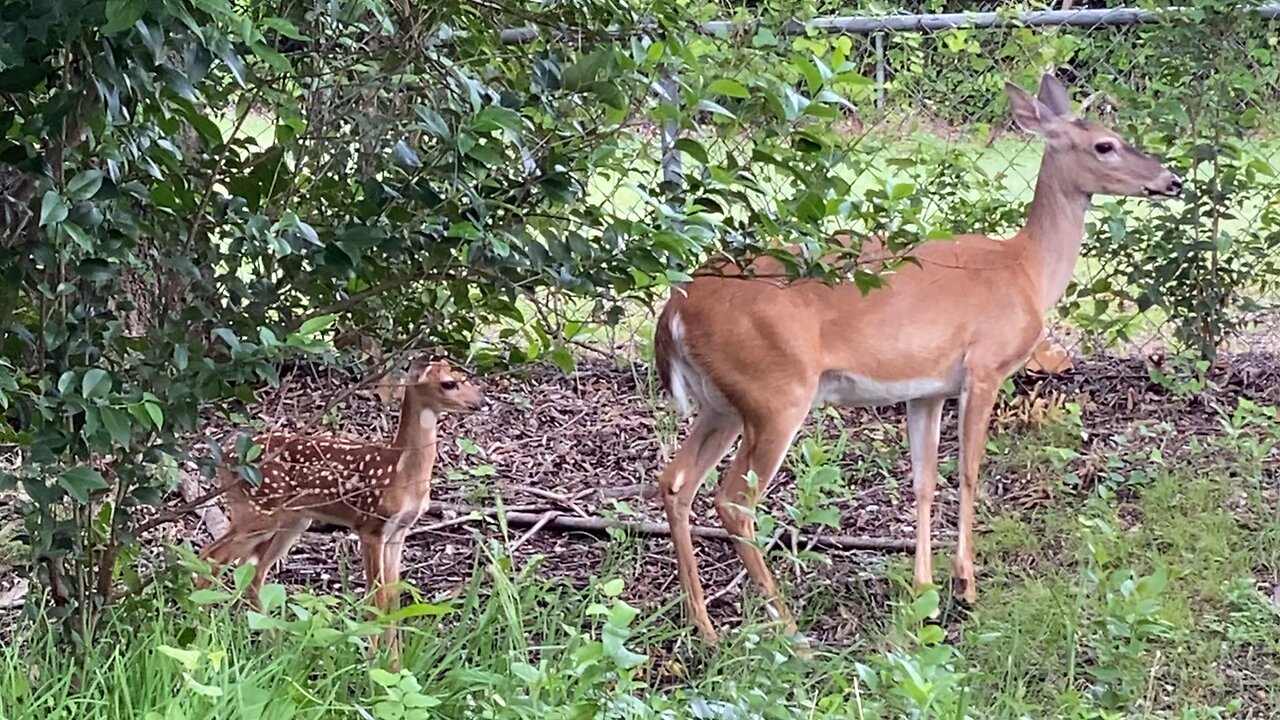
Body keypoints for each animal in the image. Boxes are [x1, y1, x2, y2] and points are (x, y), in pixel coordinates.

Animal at [197, 356, 486, 666]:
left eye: (466, 377)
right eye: (448, 383)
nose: (480, 401)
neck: (401, 472)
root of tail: (225, 458)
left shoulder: (399, 531)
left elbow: (393, 596)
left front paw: (394, 665)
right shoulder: (370, 525)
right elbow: (376, 595)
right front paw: (373, 662)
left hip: (293, 520)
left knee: (252, 573)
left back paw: (271, 647)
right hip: (259, 510)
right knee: (210, 555)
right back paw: (199, 630)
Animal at [650, 74, 1177, 645]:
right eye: (1105, 144)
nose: (1171, 180)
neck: (1027, 271)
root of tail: (674, 310)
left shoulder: (926, 389)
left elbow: (923, 481)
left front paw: (923, 591)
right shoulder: (985, 367)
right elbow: (969, 471)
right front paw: (966, 584)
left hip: (723, 402)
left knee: (675, 482)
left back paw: (704, 626)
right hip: (775, 393)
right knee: (733, 501)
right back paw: (791, 631)